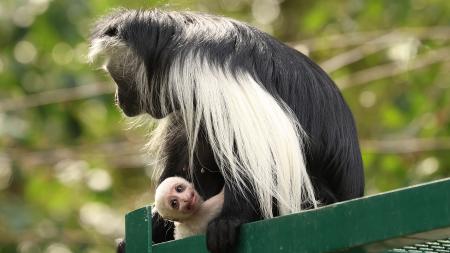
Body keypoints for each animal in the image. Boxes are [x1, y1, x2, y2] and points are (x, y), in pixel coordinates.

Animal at [89, 7, 364, 253]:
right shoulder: (186, 105)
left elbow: (256, 161)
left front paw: (229, 221)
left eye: (115, 76)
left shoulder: (203, 78)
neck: (171, 50)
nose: (117, 99)